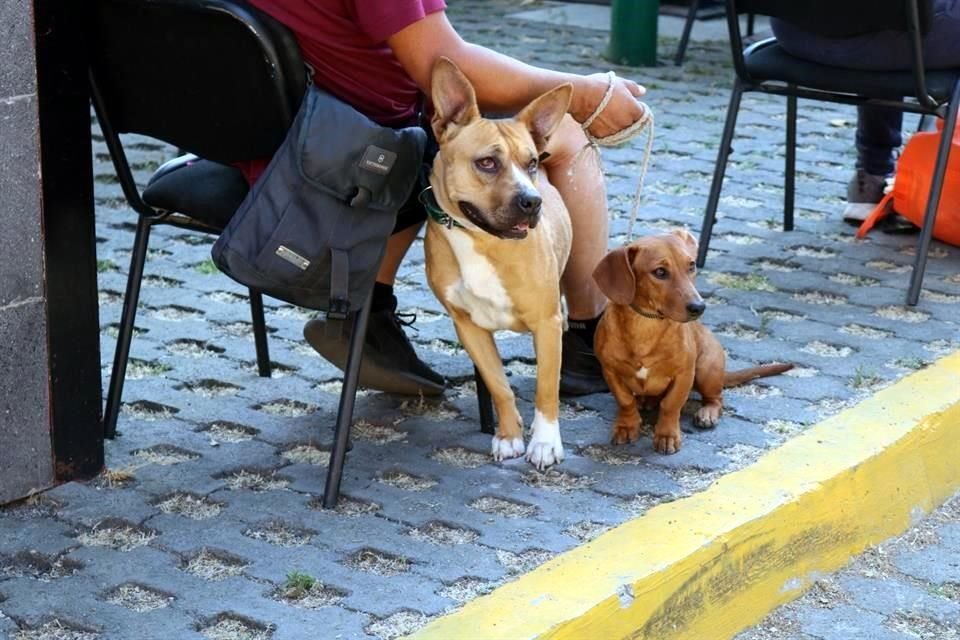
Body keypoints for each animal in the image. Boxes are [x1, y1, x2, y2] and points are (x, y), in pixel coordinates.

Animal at [426, 57, 572, 468]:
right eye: (487, 163)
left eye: (531, 162)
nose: (532, 201)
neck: (482, 241)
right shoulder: (469, 328)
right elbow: (499, 386)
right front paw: (508, 436)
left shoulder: (546, 324)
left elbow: (546, 389)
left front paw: (545, 442)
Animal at [592, 230, 796, 456]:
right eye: (660, 272)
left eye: (691, 266)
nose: (699, 307)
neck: (646, 325)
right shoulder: (610, 370)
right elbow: (625, 401)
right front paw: (627, 425)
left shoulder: (684, 374)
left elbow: (671, 405)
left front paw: (667, 435)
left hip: (706, 370)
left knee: (716, 399)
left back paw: (707, 413)